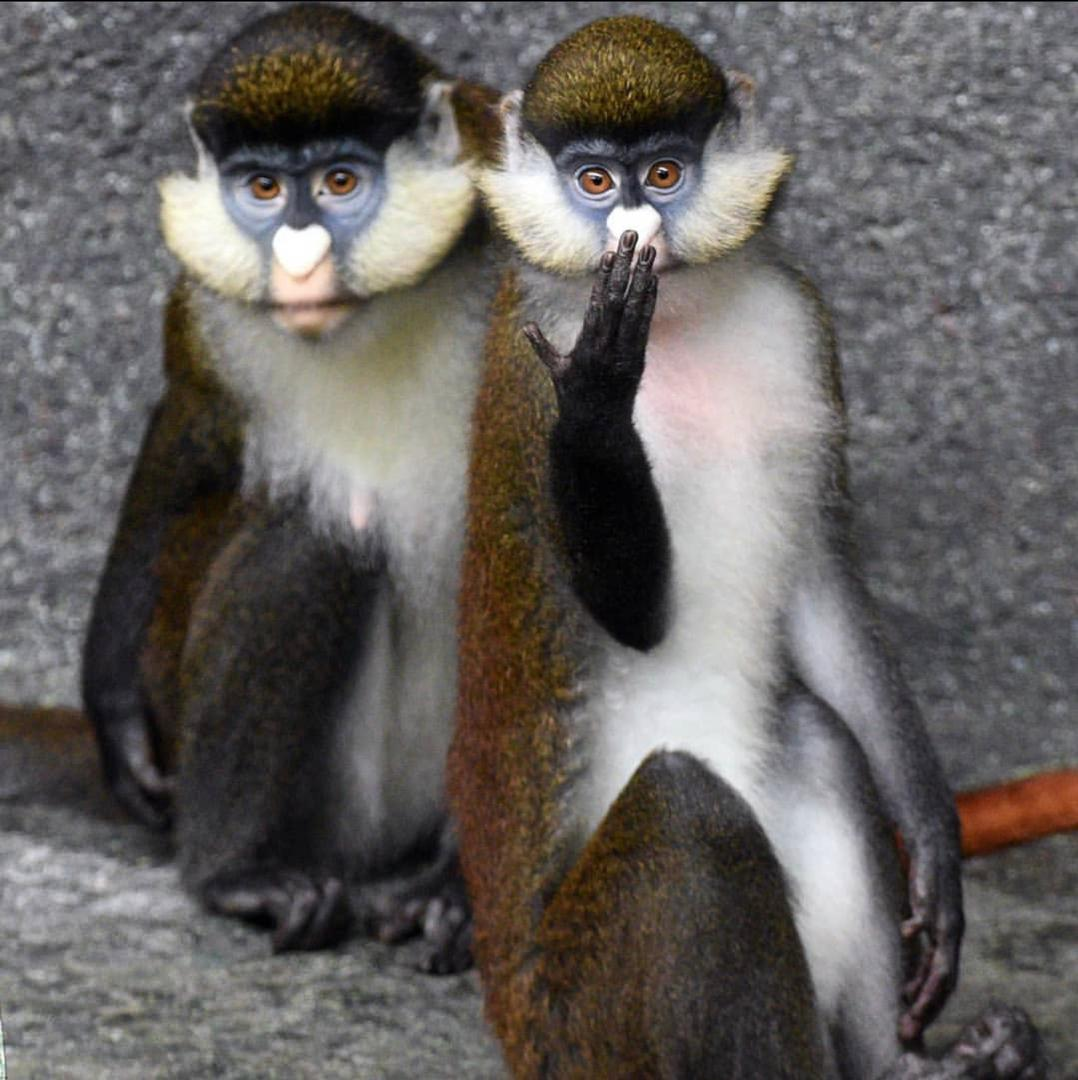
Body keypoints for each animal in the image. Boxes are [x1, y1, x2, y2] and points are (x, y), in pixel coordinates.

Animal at [81, 4, 498, 964]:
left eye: (341, 182)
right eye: (263, 190)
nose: (298, 254)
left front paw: (461, 897)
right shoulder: (204, 309)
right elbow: (188, 428)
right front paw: (112, 710)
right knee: (315, 535)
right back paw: (236, 873)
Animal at [449, 16, 1046, 1077]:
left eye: (666, 171)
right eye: (595, 180)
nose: (636, 222)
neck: (681, 324)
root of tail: (511, 1015)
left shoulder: (802, 326)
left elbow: (821, 589)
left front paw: (936, 852)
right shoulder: (532, 387)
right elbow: (631, 616)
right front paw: (600, 397)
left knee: (817, 738)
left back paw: (913, 1064)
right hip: (584, 1016)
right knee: (686, 809)